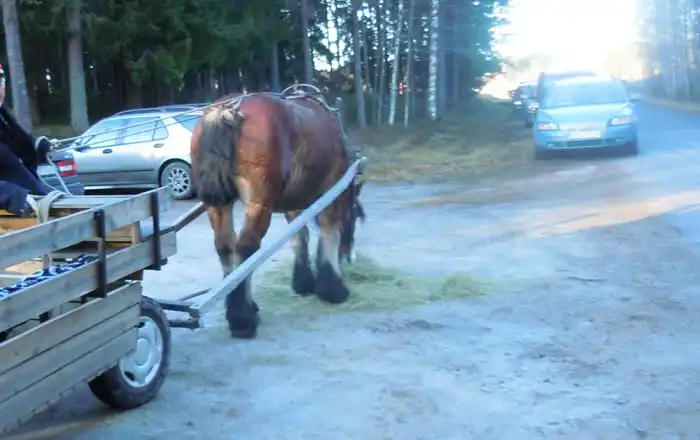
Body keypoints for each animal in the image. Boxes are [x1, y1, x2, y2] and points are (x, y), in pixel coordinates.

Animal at [191, 93, 366, 338]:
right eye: (356, 215)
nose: (349, 256)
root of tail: (226, 111)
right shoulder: (332, 191)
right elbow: (329, 233)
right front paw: (333, 288)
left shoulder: (294, 201)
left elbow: (299, 237)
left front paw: (304, 282)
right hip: (258, 201)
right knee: (246, 248)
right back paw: (243, 319)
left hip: (217, 204)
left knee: (225, 247)